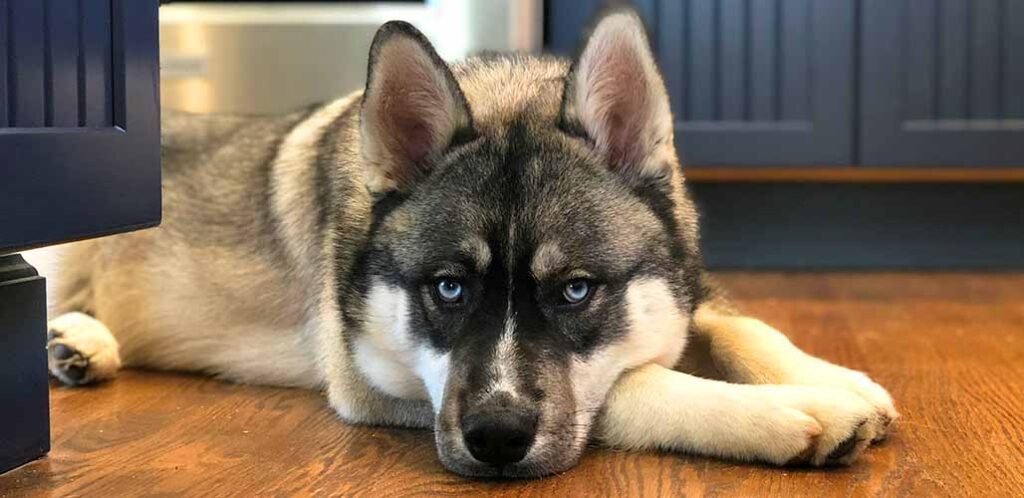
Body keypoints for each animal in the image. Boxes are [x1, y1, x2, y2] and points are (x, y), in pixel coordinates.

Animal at [41, 9, 897, 479]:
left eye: (576, 289)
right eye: (449, 287)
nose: (496, 440)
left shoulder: (688, 290)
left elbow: (741, 324)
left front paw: (835, 378)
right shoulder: (371, 384)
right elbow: (632, 385)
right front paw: (793, 411)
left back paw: (83, 344)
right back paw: (70, 336)